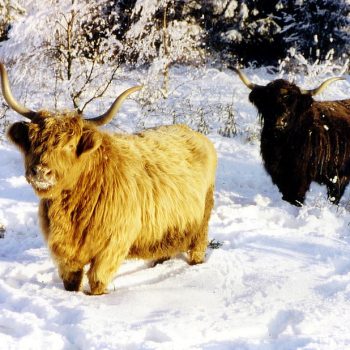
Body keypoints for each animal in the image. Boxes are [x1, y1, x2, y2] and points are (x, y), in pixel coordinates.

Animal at [0, 63, 216, 296]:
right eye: (32, 141)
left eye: (69, 145)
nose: (40, 172)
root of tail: (194, 133)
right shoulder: (65, 254)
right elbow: (71, 281)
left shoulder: (112, 246)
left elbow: (97, 281)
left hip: (201, 224)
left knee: (198, 247)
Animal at [235, 67, 350, 206]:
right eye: (269, 99)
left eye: (292, 102)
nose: (280, 120)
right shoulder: (280, 174)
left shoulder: (304, 176)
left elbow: (297, 196)